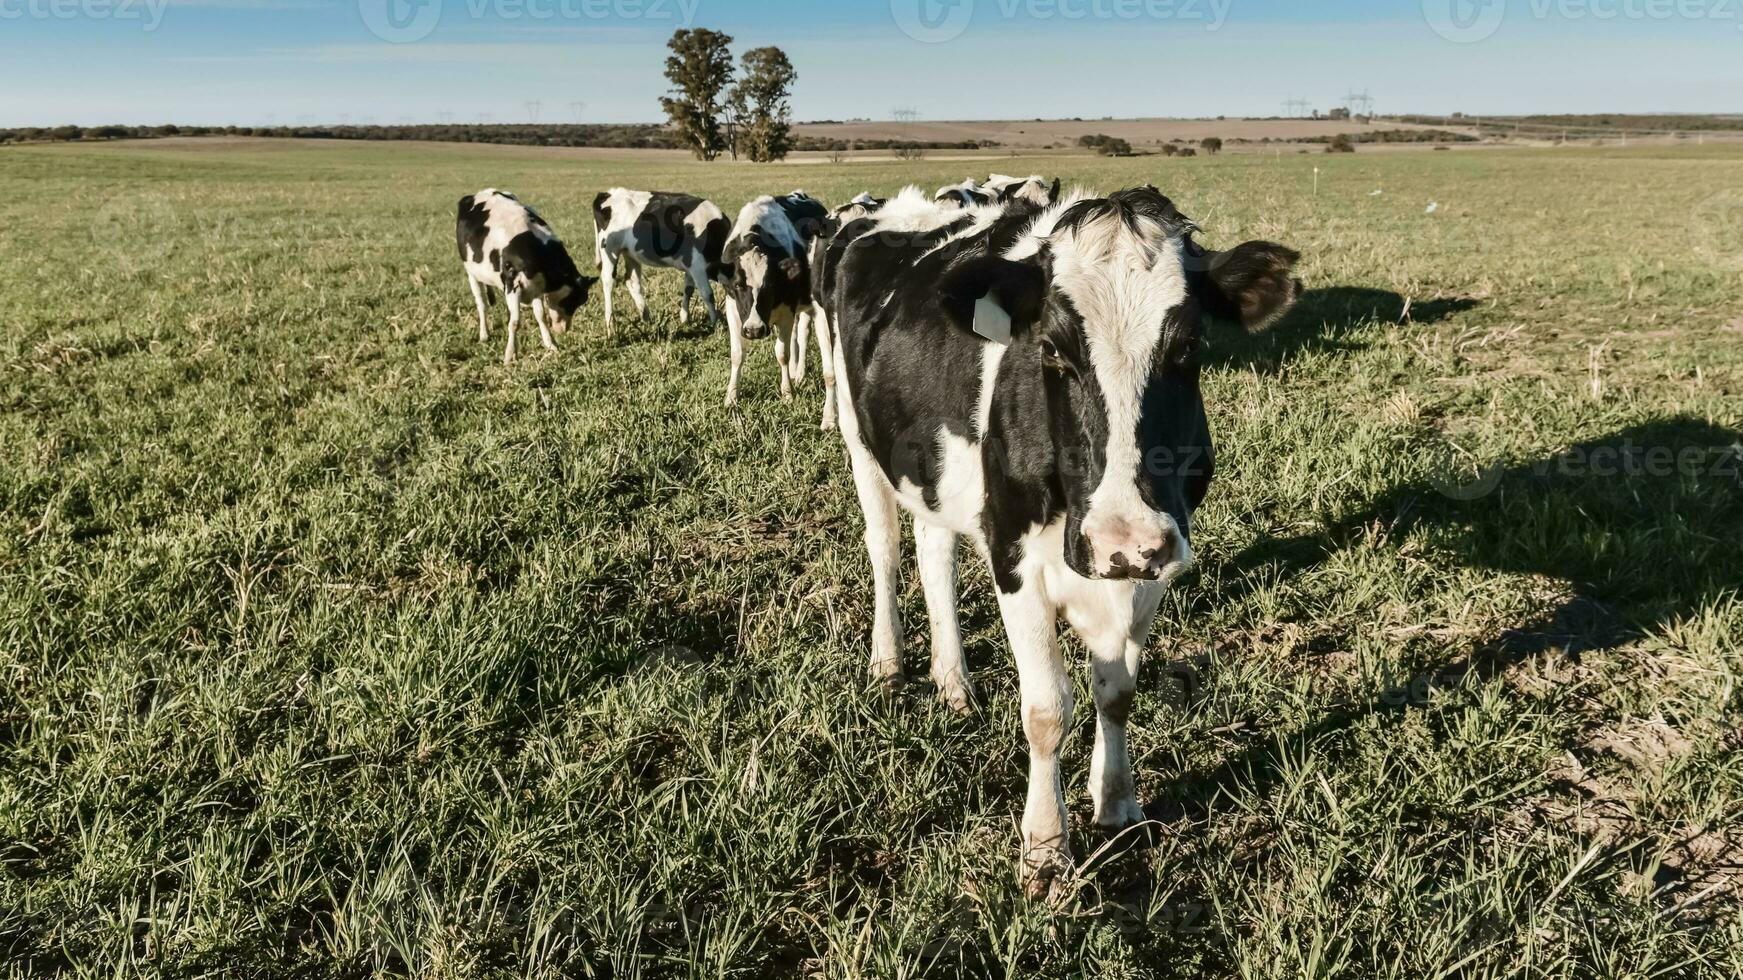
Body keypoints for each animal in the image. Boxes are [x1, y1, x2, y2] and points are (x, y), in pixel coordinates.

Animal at [456, 186, 599, 362]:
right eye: (572, 301)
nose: (564, 329)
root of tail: (477, 194)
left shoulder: (536, 288)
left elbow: (540, 315)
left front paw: (551, 344)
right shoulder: (513, 286)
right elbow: (514, 322)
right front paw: (510, 355)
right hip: (472, 274)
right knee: (481, 303)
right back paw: (484, 334)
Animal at [592, 186, 728, 331]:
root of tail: (608, 192)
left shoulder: (690, 264)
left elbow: (688, 290)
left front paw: (685, 319)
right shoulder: (697, 265)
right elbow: (708, 294)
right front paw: (716, 323)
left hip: (630, 252)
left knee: (632, 281)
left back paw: (647, 318)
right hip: (609, 249)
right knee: (608, 281)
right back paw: (610, 324)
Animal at [721, 192, 829, 413]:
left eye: (770, 285)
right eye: (737, 285)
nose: (754, 330)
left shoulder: (787, 310)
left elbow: (782, 354)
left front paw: (787, 394)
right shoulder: (732, 308)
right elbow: (737, 354)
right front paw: (731, 396)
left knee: (803, 335)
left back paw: (799, 373)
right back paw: (796, 372)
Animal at [833, 183, 1310, 892]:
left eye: (1190, 346)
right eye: (1053, 349)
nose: (1123, 537)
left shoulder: (1150, 564)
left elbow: (1117, 692)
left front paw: (1115, 801)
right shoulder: (1015, 557)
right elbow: (1047, 710)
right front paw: (1045, 847)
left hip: (934, 471)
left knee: (933, 552)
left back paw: (953, 681)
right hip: (858, 437)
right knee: (886, 548)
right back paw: (889, 662)